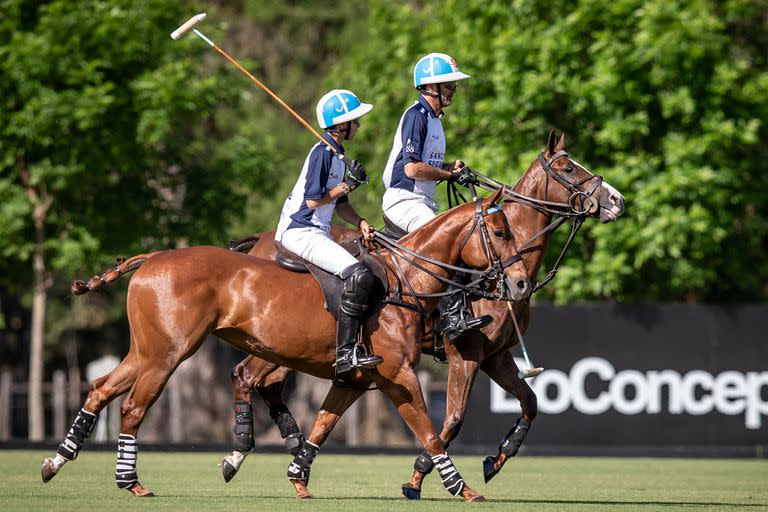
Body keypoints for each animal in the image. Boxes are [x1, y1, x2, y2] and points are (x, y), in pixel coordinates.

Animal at [42, 189, 532, 500]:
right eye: (501, 232)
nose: (520, 282)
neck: (405, 280)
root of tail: (152, 257)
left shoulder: (356, 378)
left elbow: (323, 425)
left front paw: (298, 476)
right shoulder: (399, 374)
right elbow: (432, 432)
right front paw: (460, 488)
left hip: (146, 349)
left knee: (101, 388)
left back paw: (57, 461)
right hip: (168, 353)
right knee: (133, 406)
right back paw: (131, 482)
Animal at [216, 132, 624, 496]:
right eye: (569, 168)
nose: (617, 200)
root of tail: (258, 241)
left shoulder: (497, 356)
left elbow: (531, 403)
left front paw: (495, 461)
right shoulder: (466, 352)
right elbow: (453, 419)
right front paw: (419, 476)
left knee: (266, 383)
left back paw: (289, 445)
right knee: (248, 376)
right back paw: (245, 453)